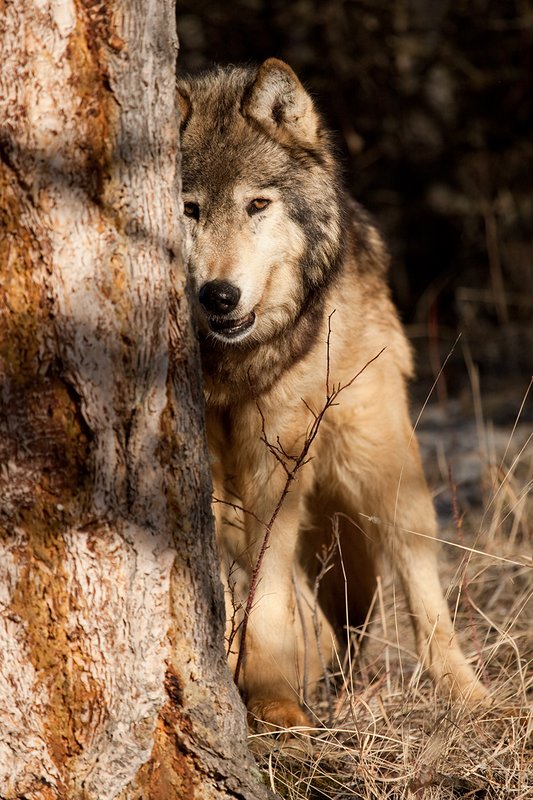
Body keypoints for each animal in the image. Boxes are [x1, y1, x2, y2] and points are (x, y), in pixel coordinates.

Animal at [177, 58, 488, 730]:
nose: (219, 296)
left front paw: (274, 701)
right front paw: (254, 682)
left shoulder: (278, 461)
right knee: (319, 614)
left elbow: (269, 593)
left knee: (420, 585)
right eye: (188, 210)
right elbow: (237, 587)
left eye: (257, 205)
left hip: (381, 468)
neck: (237, 365)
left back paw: (469, 696)